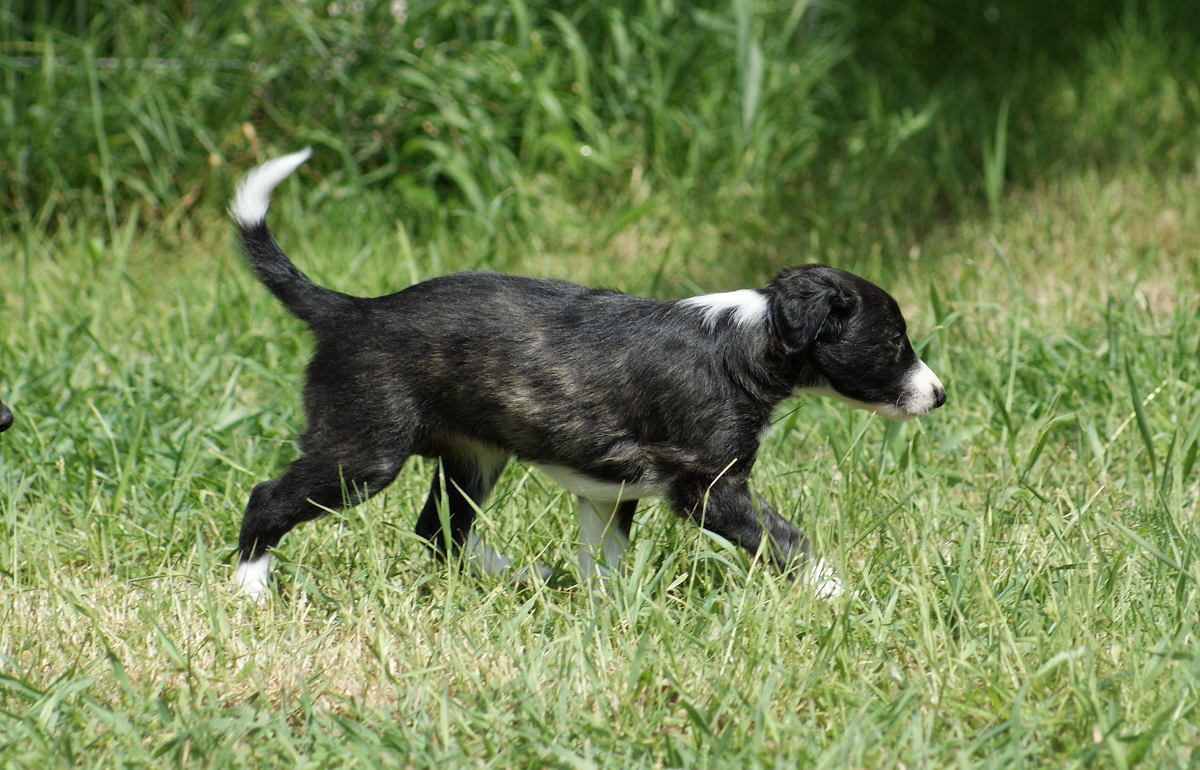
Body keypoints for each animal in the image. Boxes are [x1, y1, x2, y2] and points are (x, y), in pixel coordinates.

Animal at [229, 146, 950, 597]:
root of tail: (351, 309)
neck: (751, 337)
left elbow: (606, 559)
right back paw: (250, 589)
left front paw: (609, 609)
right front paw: (838, 592)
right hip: (364, 447)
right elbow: (788, 541)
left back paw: (517, 574)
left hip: (474, 454)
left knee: (440, 531)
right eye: (894, 342)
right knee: (269, 499)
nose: (941, 395)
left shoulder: (611, 491)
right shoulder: (711, 487)